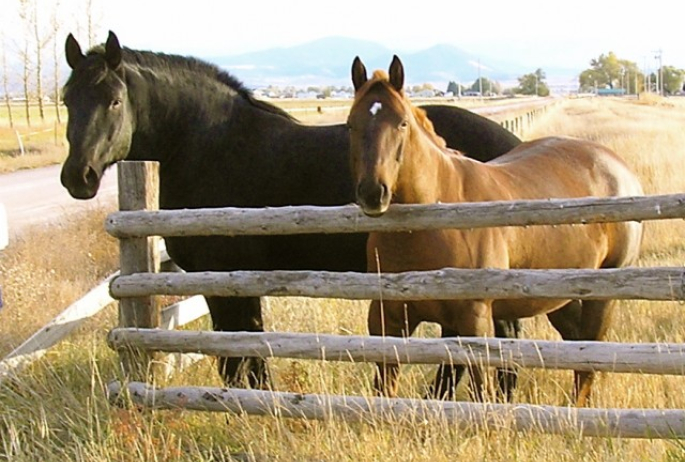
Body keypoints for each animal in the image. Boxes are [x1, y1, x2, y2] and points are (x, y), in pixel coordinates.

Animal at [60, 30, 568, 398]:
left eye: (114, 100)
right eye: (67, 99)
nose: (77, 177)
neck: (210, 145)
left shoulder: (225, 278)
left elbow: (239, 352)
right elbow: (246, 350)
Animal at [348, 56, 640, 406]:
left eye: (402, 123)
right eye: (351, 124)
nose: (372, 193)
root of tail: (616, 166)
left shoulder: (474, 321)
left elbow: (480, 390)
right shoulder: (387, 318)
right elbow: (384, 389)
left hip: (602, 296)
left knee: (588, 361)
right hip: (560, 296)